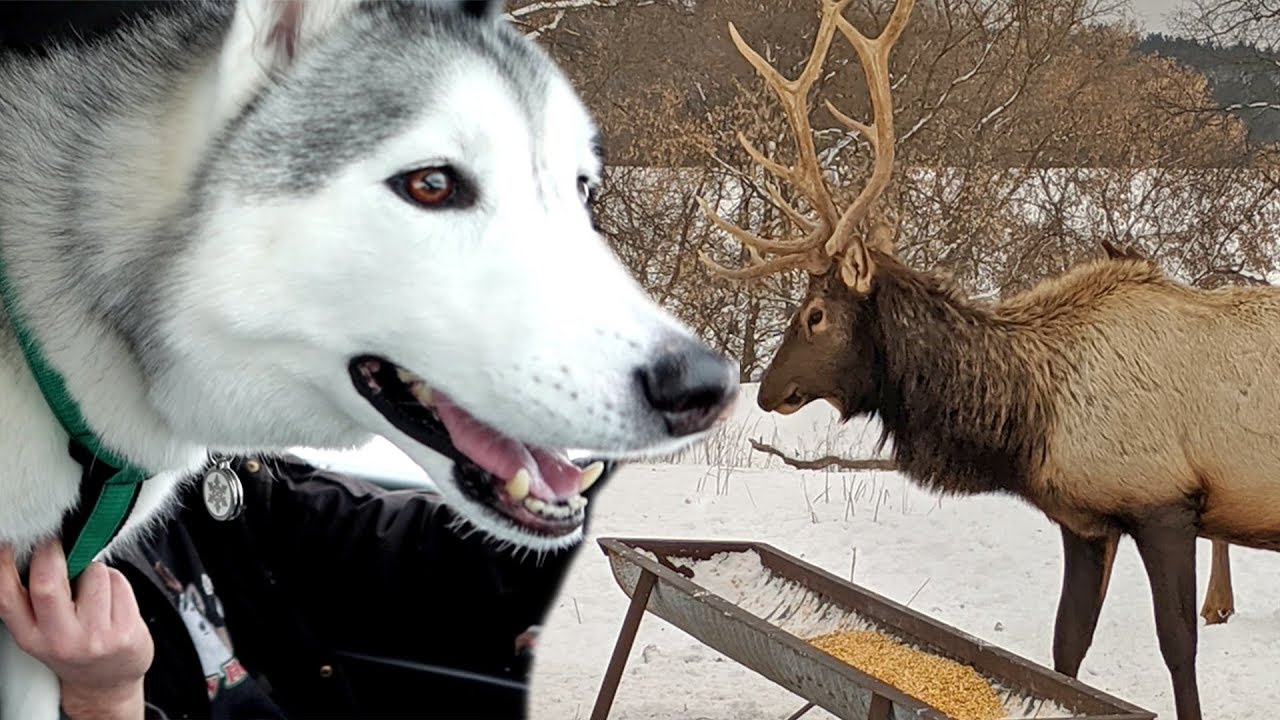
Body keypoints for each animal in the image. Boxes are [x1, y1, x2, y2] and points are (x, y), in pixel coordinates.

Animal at [698, 2, 1279, 718]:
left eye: (815, 315)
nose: (767, 390)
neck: (1032, 420)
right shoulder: (1085, 522)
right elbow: (1065, 650)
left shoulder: (1165, 503)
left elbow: (1178, 650)